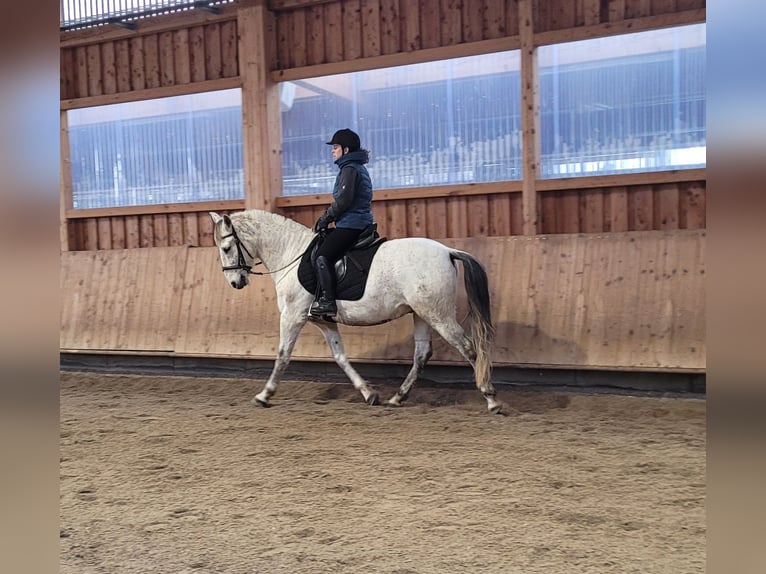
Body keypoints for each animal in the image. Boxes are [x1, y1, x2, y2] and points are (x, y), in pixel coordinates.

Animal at [210, 209, 504, 414]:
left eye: (226, 248)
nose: (236, 282)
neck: (290, 253)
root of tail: (447, 251)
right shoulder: (323, 321)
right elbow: (340, 357)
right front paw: (368, 394)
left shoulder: (292, 316)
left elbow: (282, 356)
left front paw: (264, 395)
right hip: (421, 313)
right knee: (422, 354)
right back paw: (397, 398)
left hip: (438, 315)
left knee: (469, 349)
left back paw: (491, 399)